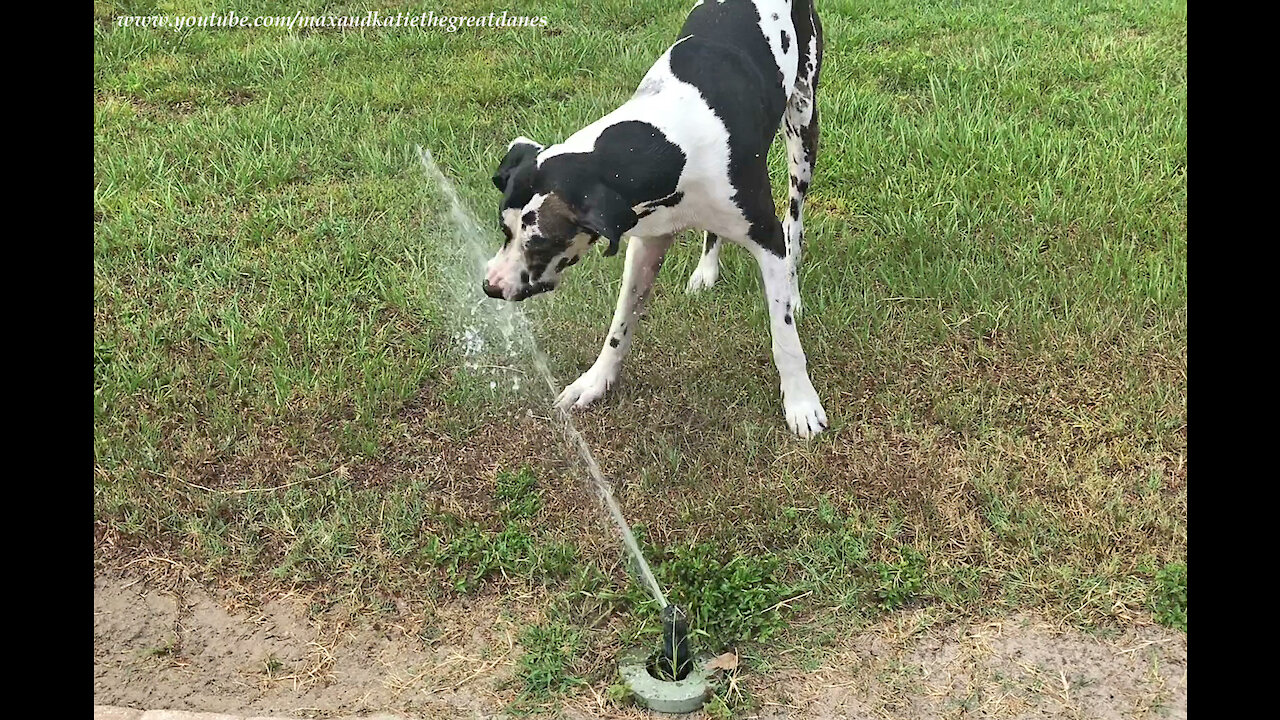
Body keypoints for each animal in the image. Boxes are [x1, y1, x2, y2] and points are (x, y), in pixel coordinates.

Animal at [481, 0, 829, 438]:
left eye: (541, 241)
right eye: (503, 229)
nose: (490, 286)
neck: (669, 140)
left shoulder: (766, 239)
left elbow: (784, 337)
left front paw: (801, 403)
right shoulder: (645, 243)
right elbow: (619, 326)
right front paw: (596, 381)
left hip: (802, 131)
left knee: (794, 222)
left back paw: (794, 285)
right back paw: (706, 270)